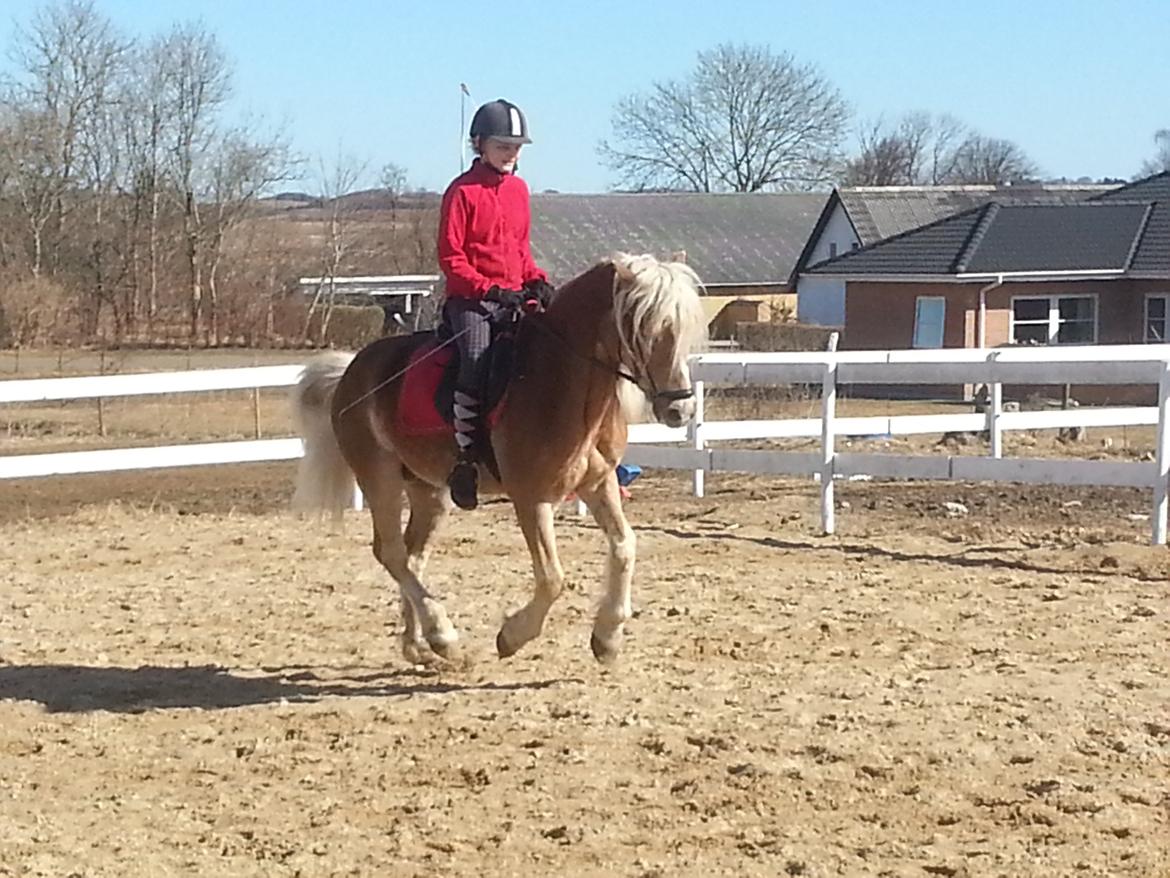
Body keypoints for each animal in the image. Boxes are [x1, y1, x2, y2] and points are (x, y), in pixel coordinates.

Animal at [292, 254, 706, 664]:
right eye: (642, 325)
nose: (680, 409)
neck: (558, 379)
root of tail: (352, 369)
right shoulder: (531, 499)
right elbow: (552, 578)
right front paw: (512, 636)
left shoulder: (598, 483)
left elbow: (624, 547)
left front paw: (607, 639)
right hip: (380, 480)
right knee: (392, 553)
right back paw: (443, 635)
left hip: (428, 490)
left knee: (411, 557)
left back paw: (419, 645)